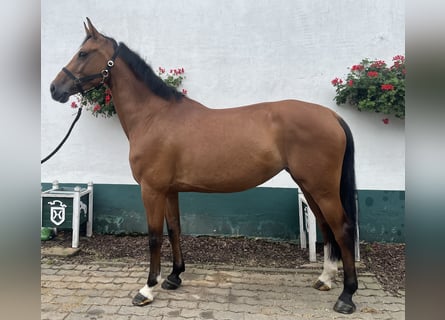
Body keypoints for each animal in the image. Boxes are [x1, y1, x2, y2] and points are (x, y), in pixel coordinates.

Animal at [49, 18, 358, 314]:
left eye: (83, 53)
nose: (54, 89)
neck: (154, 117)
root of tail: (331, 116)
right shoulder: (169, 190)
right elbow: (174, 229)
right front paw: (174, 277)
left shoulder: (151, 190)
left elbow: (154, 237)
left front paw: (148, 288)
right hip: (309, 185)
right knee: (325, 227)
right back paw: (325, 279)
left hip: (322, 188)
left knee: (342, 228)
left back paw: (347, 296)